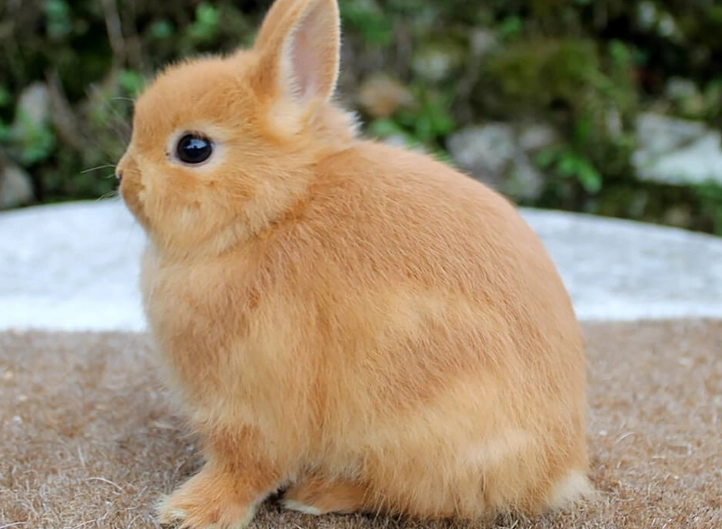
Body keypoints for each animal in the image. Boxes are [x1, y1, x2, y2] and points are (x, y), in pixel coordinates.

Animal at [115, 0, 592, 527]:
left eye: (192, 148)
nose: (121, 177)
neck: (272, 212)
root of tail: (558, 470)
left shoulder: (258, 399)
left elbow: (247, 467)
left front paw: (189, 511)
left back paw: (317, 494)